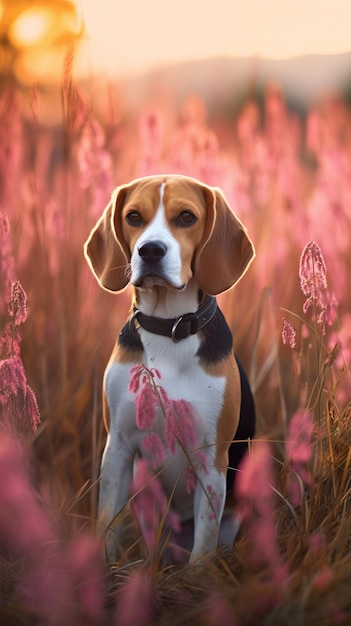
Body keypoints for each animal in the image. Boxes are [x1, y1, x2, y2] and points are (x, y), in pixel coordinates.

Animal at [85, 173, 256, 564]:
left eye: (186, 217)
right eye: (133, 217)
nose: (150, 250)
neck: (170, 328)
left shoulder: (211, 459)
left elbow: (204, 543)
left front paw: (197, 576)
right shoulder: (117, 448)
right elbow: (107, 523)